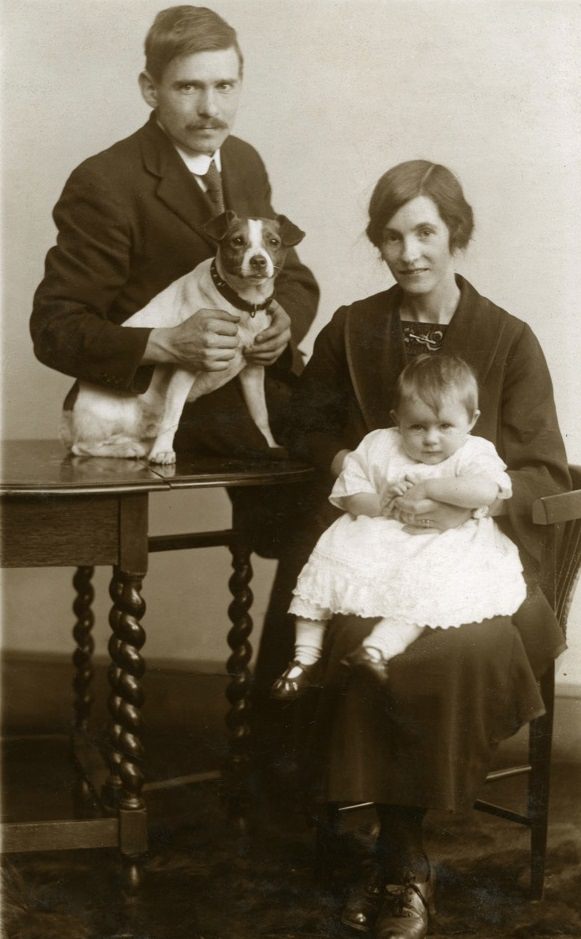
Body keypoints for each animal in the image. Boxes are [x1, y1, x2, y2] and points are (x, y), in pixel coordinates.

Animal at [61, 211, 306, 464]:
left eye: (274, 242)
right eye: (237, 241)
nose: (258, 261)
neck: (240, 301)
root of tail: (69, 410)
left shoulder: (253, 370)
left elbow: (260, 414)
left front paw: (270, 444)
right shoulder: (187, 366)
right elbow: (173, 416)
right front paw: (163, 451)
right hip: (114, 418)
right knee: (82, 447)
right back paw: (129, 450)